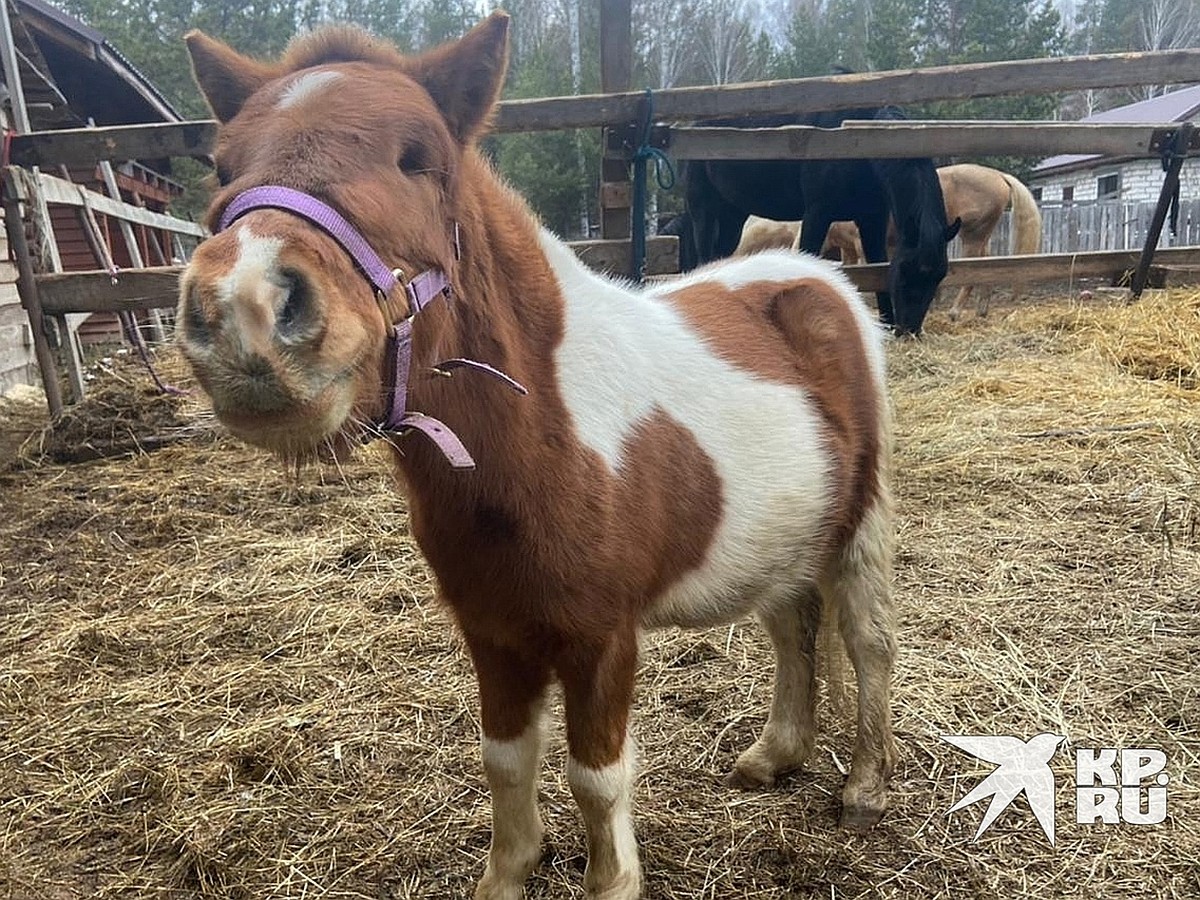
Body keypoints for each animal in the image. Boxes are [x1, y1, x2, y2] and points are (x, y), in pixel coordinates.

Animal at [175, 15, 892, 900]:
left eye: (418, 156)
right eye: (222, 165)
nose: (243, 308)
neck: (541, 438)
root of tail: (818, 275)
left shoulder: (600, 640)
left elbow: (597, 777)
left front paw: (611, 881)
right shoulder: (493, 632)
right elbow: (506, 761)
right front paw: (511, 872)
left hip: (859, 523)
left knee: (866, 640)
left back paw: (864, 788)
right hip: (778, 537)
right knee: (793, 625)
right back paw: (774, 756)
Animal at [686, 106, 964, 338]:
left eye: (939, 276)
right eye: (906, 271)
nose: (909, 330)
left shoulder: (872, 220)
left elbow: (878, 265)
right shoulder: (817, 214)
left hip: (732, 215)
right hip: (703, 210)